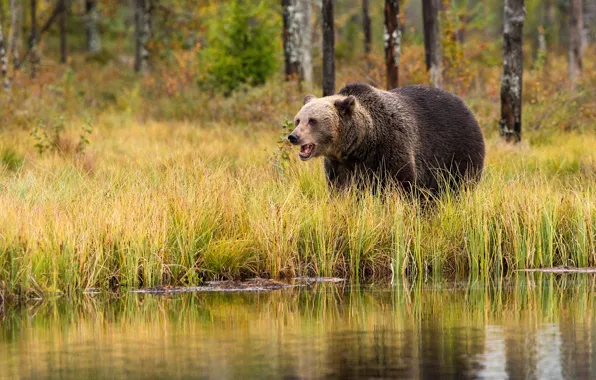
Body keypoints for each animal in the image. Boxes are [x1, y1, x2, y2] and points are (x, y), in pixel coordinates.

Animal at [288, 83, 484, 196]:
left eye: (312, 121)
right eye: (298, 120)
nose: (293, 136)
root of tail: (465, 105)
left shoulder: (390, 147)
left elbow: (402, 183)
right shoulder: (339, 165)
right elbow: (340, 189)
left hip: (457, 150)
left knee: (459, 183)